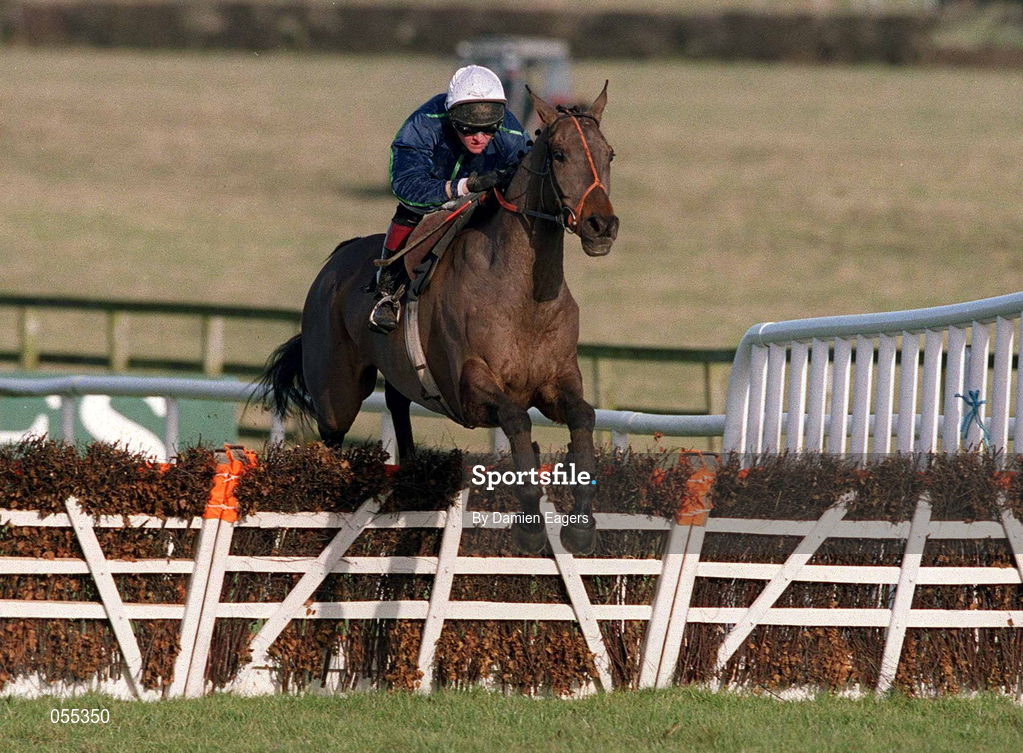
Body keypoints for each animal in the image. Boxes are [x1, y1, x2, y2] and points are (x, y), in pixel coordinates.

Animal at [259, 84, 619, 554]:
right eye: (558, 153)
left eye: (610, 153)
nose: (601, 225)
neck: (527, 296)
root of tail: (336, 259)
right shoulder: (469, 388)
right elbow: (517, 420)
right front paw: (528, 524)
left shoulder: (557, 381)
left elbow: (584, 418)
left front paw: (581, 525)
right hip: (336, 390)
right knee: (332, 437)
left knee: (397, 403)